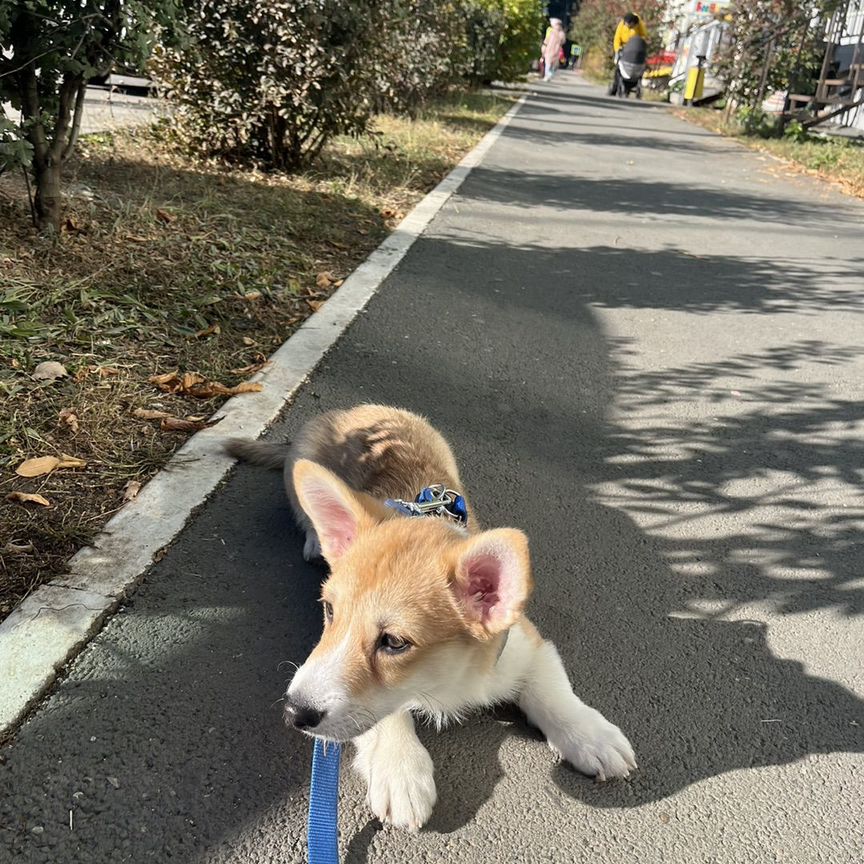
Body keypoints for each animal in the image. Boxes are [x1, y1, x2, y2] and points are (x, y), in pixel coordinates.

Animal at [226, 404, 636, 832]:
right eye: (330, 610)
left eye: (394, 642)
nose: (293, 712)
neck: (447, 679)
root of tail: (356, 409)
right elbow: (383, 716)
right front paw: (400, 771)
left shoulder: (529, 645)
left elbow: (554, 692)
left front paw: (591, 736)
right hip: (299, 468)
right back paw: (313, 541)